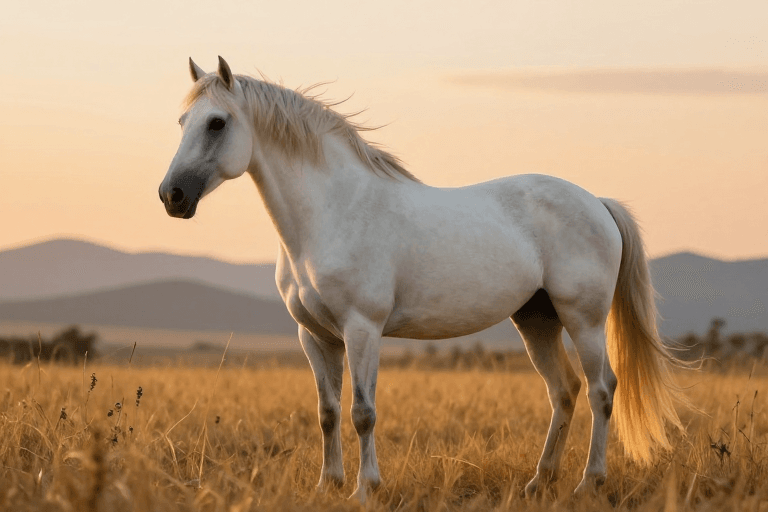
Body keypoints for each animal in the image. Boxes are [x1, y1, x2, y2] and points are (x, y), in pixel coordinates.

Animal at [159, 56, 686, 502]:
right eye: (183, 122)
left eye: (217, 122)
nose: (172, 196)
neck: (332, 212)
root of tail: (597, 202)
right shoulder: (315, 336)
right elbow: (328, 413)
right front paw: (327, 486)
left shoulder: (362, 329)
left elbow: (362, 413)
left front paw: (365, 489)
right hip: (537, 321)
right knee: (565, 391)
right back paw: (540, 482)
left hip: (584, 321)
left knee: (601, 390)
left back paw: (587, 484)